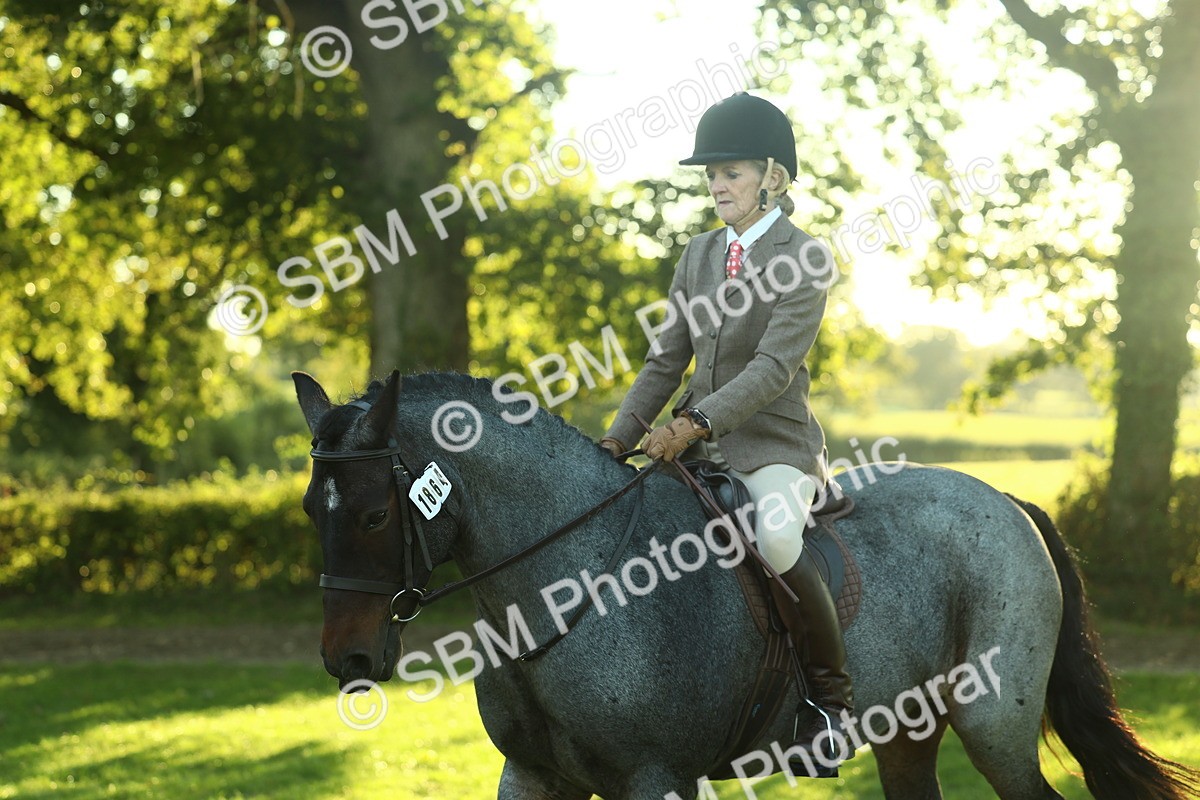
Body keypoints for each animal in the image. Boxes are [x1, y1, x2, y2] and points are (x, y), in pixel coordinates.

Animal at [292, 369, 1200, 800]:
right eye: (310, 508)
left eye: (372, 515)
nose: (348, 661)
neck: (569, 584)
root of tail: (1007, 500)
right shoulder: (532, 776)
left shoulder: (655, 777)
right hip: (908, 730)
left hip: (995, 726)